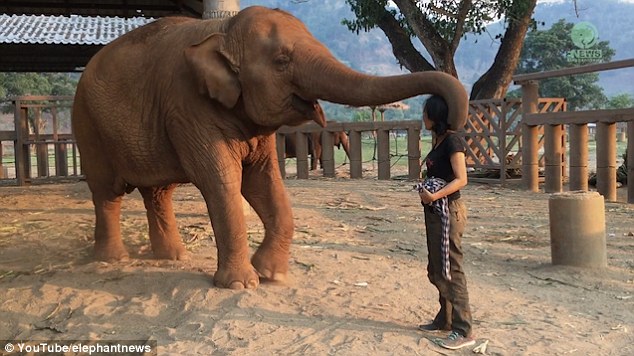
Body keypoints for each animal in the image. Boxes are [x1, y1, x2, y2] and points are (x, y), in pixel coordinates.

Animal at [71, 4, 466, 290]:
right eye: (281, 61)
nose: (447, 117)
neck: (222, 31)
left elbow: (264, 181)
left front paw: (271, 275)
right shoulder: (188, 107)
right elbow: (222, 182)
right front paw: (241, 285)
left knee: (157, 192)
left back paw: (173, 258)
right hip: (87, 125)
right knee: (107, 192)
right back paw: (112, 260)